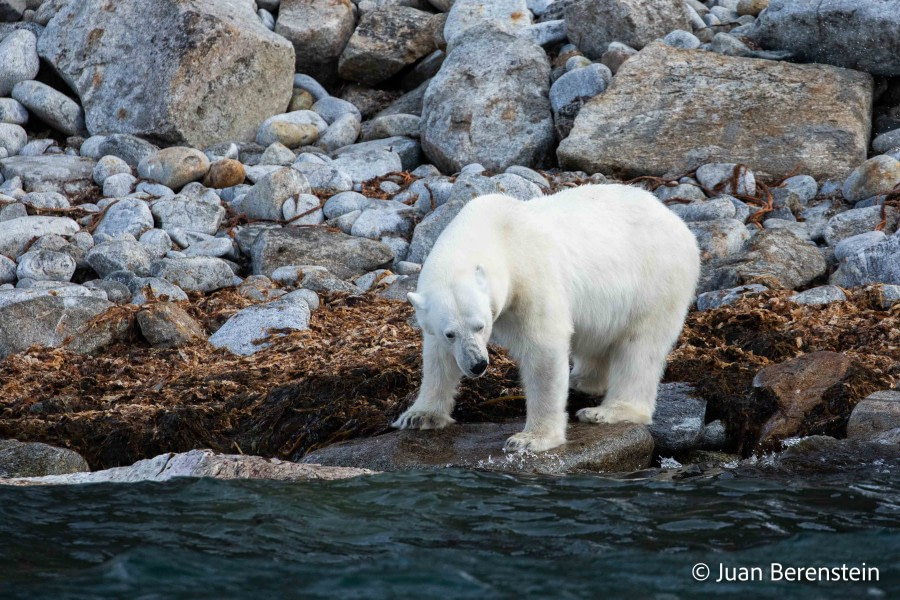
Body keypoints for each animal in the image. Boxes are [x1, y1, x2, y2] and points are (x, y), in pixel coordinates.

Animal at [394, 183, 704, 450]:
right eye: (450, 333)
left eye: (481, 326)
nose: (477, 365)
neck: (495, 233)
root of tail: (676, 221)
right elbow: (438, 358)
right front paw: (419, 415)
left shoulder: (531, 277)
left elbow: (543, 348)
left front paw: (530, 439)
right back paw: (582, 380)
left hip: (657, 279)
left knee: (640, 347)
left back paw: (606, 411)